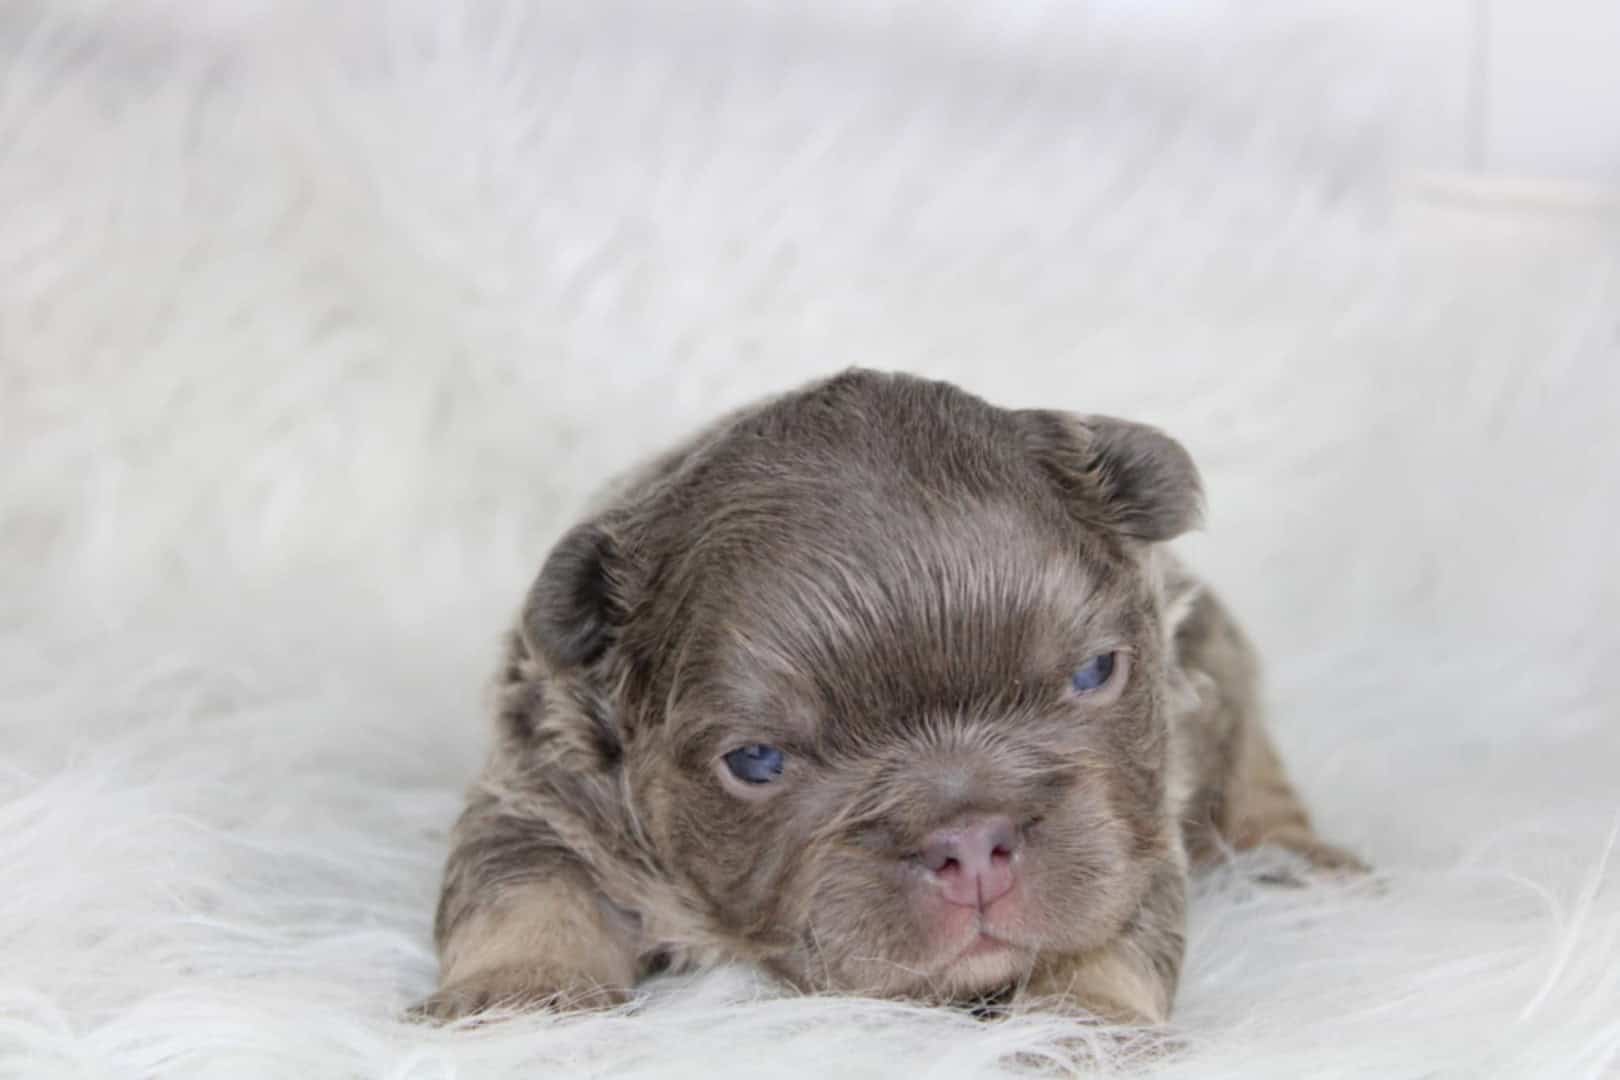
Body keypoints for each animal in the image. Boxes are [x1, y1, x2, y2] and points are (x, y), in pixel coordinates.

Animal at [421, 367, 1367, 1029]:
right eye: (754, 762)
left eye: (1095, 674)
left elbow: (1106, 937)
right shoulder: (541, 794)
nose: (973, 842)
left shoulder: (1132, 831)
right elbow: (523, 890)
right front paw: (520, 997)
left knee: (1254, 772)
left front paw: (1081, 1028)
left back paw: (1298, 859)